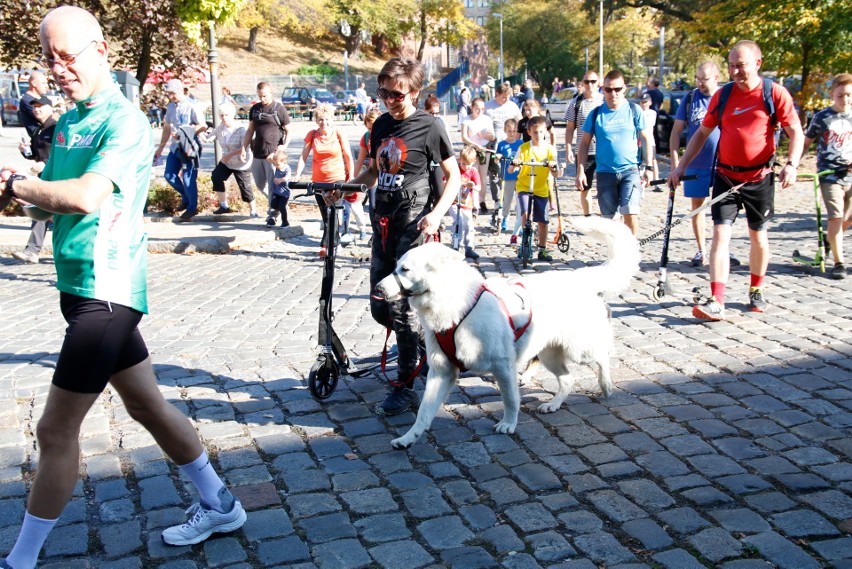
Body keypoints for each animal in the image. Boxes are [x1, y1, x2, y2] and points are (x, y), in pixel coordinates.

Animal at [378, 216, 640, 448]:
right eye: (396, 267)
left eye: (405, 269)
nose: (378, 289)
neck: (458, 306)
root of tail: (578, 279)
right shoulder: (442, 372)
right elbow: (423, 412)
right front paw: (409, 437)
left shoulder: (503, 367)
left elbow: (511, 399)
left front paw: (509, 424)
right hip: (549, 356)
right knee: (568, 379)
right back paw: (553, 404)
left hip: (580, 350)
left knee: (603, 355)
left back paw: (606, 385)